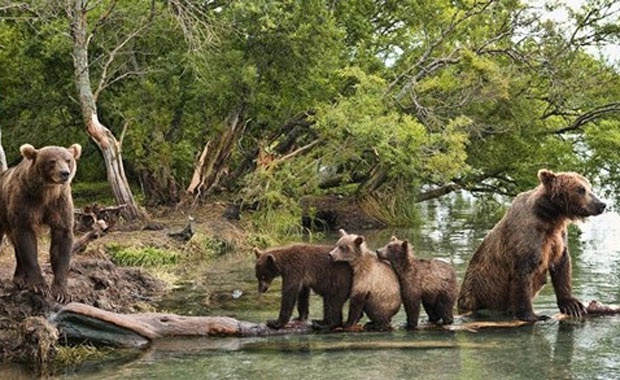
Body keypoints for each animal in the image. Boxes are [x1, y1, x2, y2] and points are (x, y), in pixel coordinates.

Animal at [0, 143, 81, 302]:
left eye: (68, 160)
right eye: (52, 161)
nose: (65, 173)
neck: (46, 191)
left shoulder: (59, 203)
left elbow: (62, 241)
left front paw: (62, 292)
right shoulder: (26, 202)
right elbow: (27, 241)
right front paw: (40, 286)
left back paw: (19, 278)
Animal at [460, 169, 604, 320]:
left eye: (589, 187)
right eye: (581, 189)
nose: (601, 204)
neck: (551, 217)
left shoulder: (558, 237)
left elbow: (562, 264)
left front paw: (573, 305)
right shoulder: (528, 237)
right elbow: (524, 272)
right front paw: (533, 315)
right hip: (475, 291)